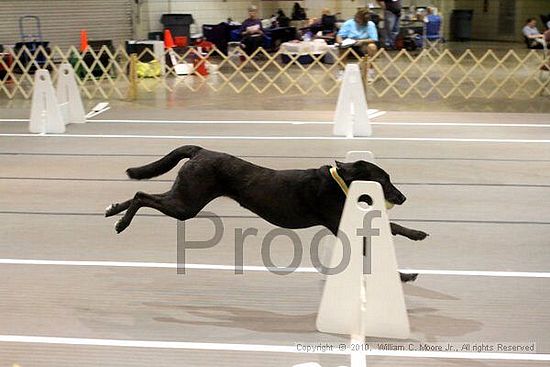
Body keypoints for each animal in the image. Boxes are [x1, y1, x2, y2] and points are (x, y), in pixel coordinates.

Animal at [106, 146, 426, 282]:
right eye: (384, 181)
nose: (403, 196)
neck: (341, 183)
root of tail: (200, 151)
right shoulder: (340, 222)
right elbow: (387, 231)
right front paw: (404, 274)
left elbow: (393, 226)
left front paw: (417, 233)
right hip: (187, 204)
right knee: (142, 195)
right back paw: (122, 222)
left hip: (185, 196)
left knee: (142, 194)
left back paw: (113, 211)